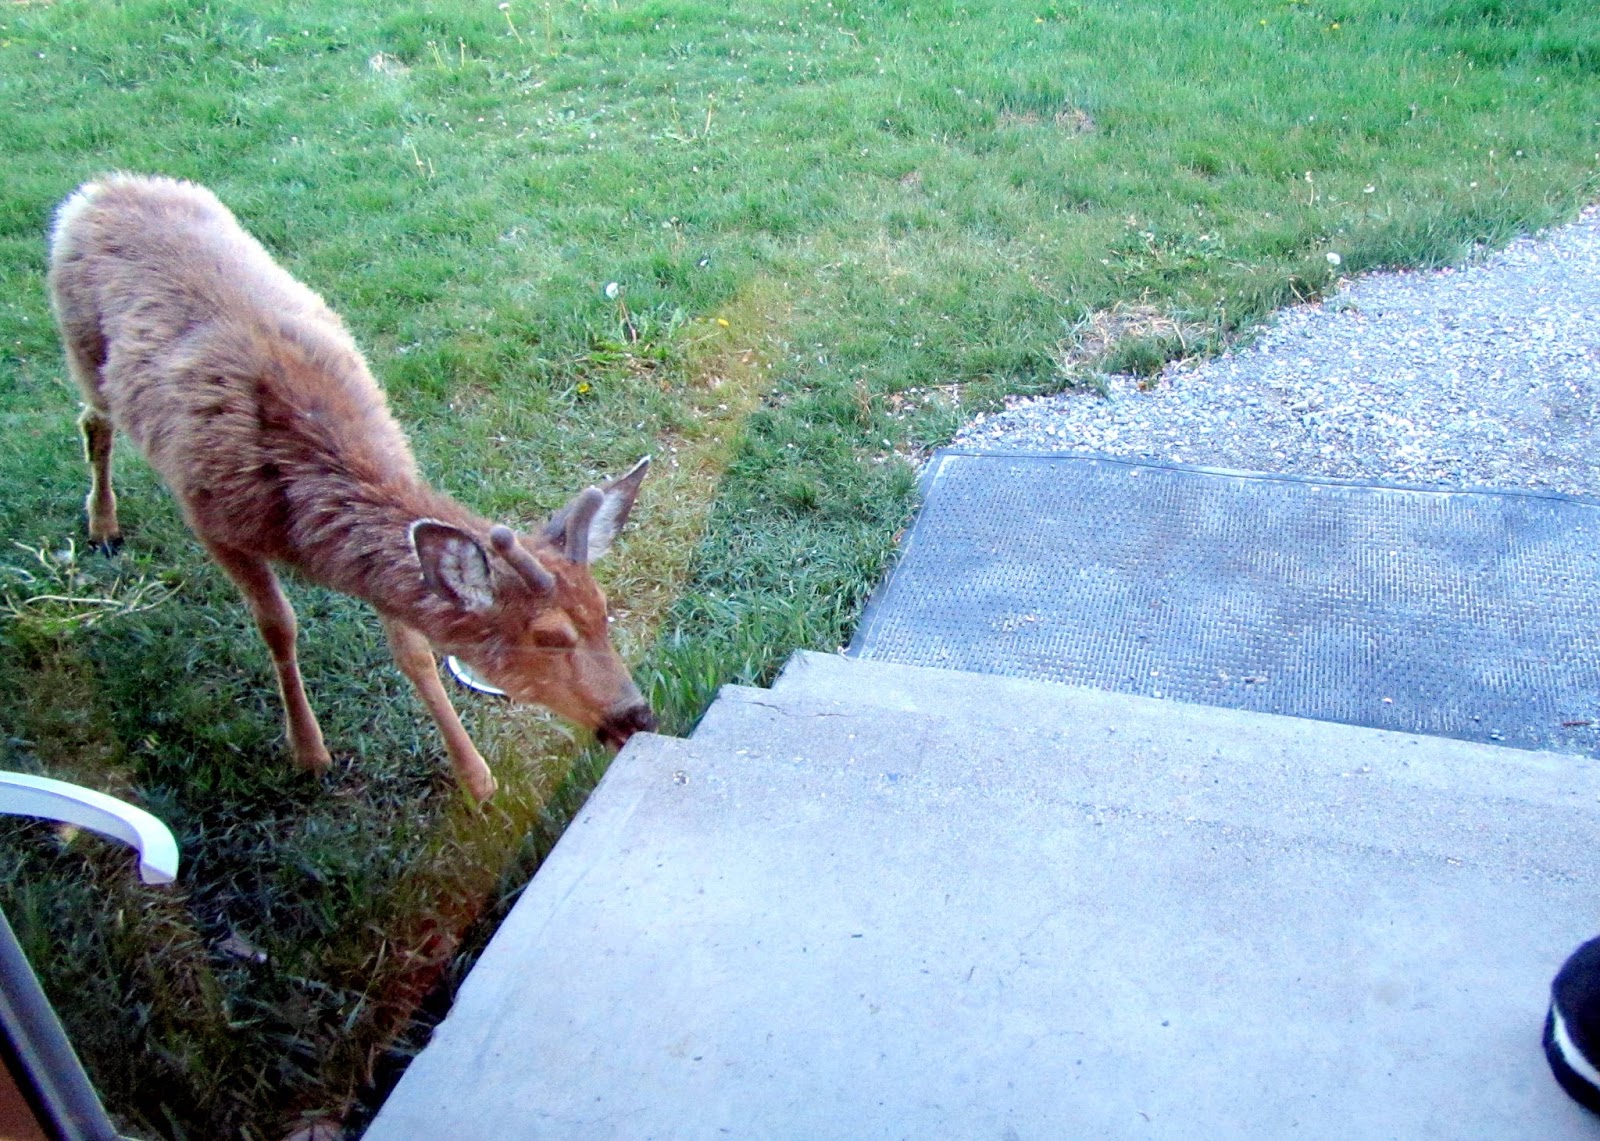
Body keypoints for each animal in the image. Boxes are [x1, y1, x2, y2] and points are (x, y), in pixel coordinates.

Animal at [46, 173, 657, 801]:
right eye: (549, 637)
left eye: (603, 611)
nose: (637, 715)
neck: (296, 504)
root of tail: (99, 187)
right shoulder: (211, 520)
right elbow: (277, 626)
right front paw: (309, 751)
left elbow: (414, 651)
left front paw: (476, 776)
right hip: (80, 345)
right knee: (92, 419)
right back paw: (102, 526)